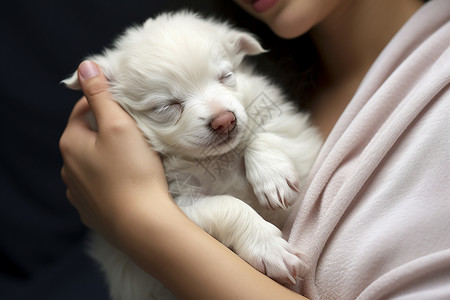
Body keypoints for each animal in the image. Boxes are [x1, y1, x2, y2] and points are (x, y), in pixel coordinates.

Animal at [64, 10, 324, 298]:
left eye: (226, 76)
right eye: (167, 106)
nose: (224, 120)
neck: (217, 159)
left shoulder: (298, 136)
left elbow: (264, 136)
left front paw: (274, 179)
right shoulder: (181, 205)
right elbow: (227, 206)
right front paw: (270, 249)